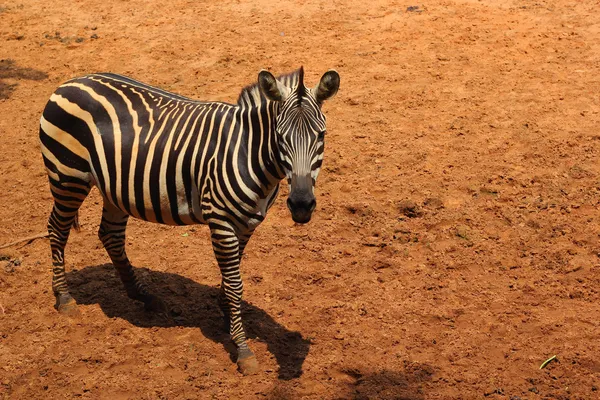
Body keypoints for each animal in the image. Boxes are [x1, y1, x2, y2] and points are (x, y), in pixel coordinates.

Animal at [39, 66, 340, 376]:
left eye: (321, 135)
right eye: (280, 137)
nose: (302, 205)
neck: (249, 154)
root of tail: (73, 81)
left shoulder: (245, 224)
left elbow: (231, 278)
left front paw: (227, 315)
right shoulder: (221, 221)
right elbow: (235, 283)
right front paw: (242, 347)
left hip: (114, 187)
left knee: (110, 235)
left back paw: (143, 295)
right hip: (68, 176)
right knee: (57, 229)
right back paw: (64, 297)